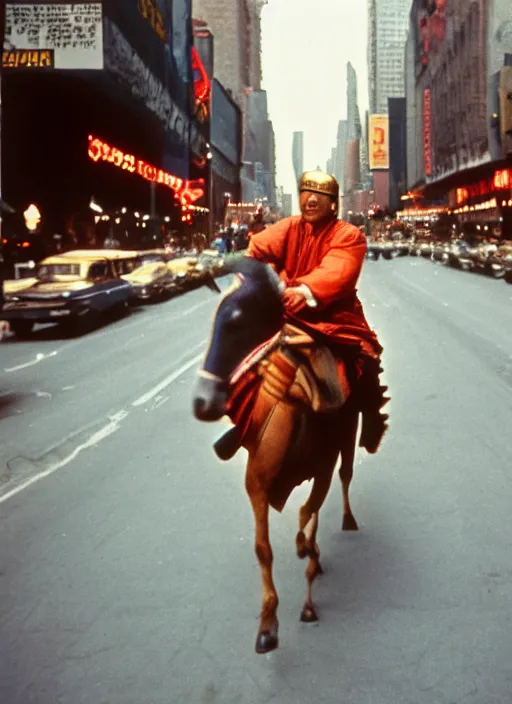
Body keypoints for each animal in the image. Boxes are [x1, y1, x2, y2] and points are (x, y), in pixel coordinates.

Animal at [195, 258, 368, 656]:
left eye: (238, 322)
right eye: (213, 322)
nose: (202, 402)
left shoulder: (322, 470)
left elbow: (307, 517)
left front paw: (308, 585)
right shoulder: (257, 483)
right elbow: (264, 548)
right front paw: (268, 624)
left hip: (349, 436)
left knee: (345, 477)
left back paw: (342, 524)